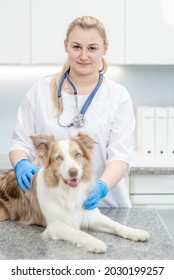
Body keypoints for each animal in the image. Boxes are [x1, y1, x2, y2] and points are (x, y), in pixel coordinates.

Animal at [0, 132, 150, 253]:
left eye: (78, 154)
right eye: (58, 158)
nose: (73, 172)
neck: (68, 193)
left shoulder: (91, 215)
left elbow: (116, 224)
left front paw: (135, 232)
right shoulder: (56, 226)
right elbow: (80, 234)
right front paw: (96, 243)